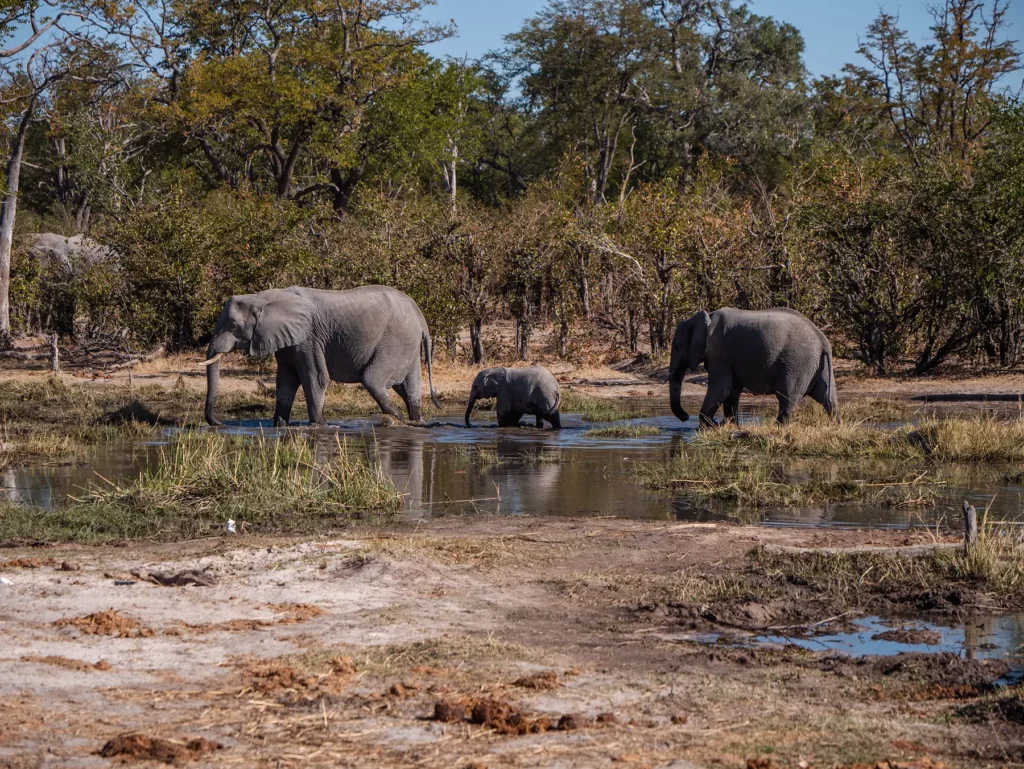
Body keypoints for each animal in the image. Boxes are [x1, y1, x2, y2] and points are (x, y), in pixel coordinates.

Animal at [203, 285, 439, 427]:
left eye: (234, 326)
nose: (220, 424)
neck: (263, 297)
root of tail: (420, 316)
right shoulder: (288, 342)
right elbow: (285, 381)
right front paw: (280, 425)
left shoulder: (308, 339)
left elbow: (315, 378)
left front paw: (319, 425)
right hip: (407, 344)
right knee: (409, 389)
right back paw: (416, 421)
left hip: (397, 340)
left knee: (372, 380)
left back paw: (398, 420)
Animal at [669, 307, 839, 427]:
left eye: (677, 347)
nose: (685, 417)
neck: (706, 318)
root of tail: (823, 339)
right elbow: (732, 391)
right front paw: (729, 425)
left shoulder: (718, 352)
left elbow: (722, 388)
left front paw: (712, 426)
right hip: (817, 364)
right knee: (827, 398)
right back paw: (836, 425)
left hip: (797, 362)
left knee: (787, 398)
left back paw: (777, 428)